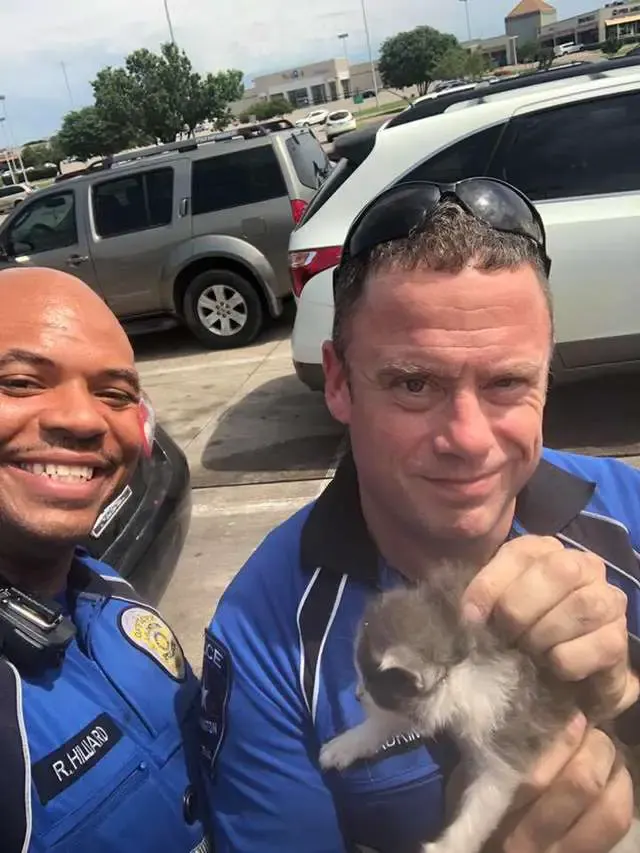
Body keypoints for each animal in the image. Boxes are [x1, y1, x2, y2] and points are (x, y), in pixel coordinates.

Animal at [320, 564, 640, 848]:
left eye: (373, 686)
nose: (359, 695)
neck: (459, 653)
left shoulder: (508, 725)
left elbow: (489, 795)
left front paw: (447, 847)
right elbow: (392, 720)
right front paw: (347, 744)